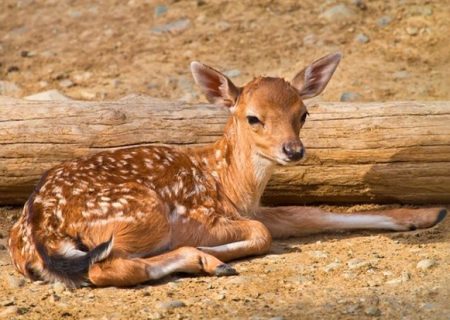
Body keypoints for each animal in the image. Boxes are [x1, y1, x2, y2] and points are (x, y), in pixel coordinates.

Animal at [7, 52, 446, 288]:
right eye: (253, 117)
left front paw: (427, 214)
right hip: (143, 212)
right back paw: (208, 261)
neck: (230, 184)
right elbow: (263, 233)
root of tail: (38, 231)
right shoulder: (202, 216)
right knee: (103, 269)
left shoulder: (253, 209)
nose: (293, 150)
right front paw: (215, 253)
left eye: (303, 113)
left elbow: (310, 214)